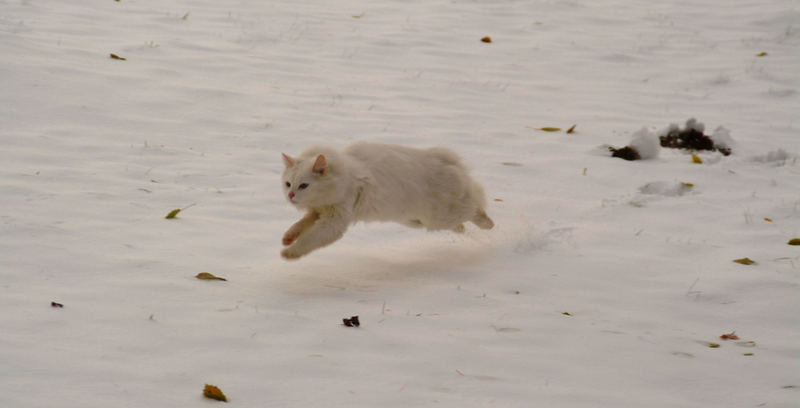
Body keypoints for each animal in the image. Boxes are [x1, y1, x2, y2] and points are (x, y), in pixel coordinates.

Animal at [282, 142, 494, 260]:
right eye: (288, 184)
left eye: (304, 186)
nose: (291, 196)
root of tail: (446, 159)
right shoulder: (319, 212)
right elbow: (299, 226)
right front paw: (287, 239)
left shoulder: (334, 221)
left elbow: (309, 240)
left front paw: (289, 253)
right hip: (418, 220)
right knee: (462, 222)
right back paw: (463, 229)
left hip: (443, 213)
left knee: (476, 208)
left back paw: (488, 224)